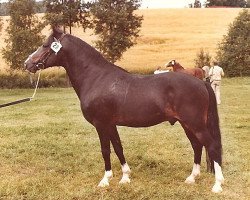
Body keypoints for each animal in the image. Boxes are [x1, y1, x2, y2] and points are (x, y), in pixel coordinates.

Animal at [24, 27, 224, 193]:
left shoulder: (101, 124)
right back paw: (192, 178)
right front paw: (125, 177)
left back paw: (217, 185)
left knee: (211, 146)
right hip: (186, 124)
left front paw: (105, 180)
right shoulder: (111, 125)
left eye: (45, 45)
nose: (27, 64)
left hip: (195, 124)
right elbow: (118, 148)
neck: (96, 78)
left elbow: (105, 150)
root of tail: (201, 82)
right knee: (197, 145)